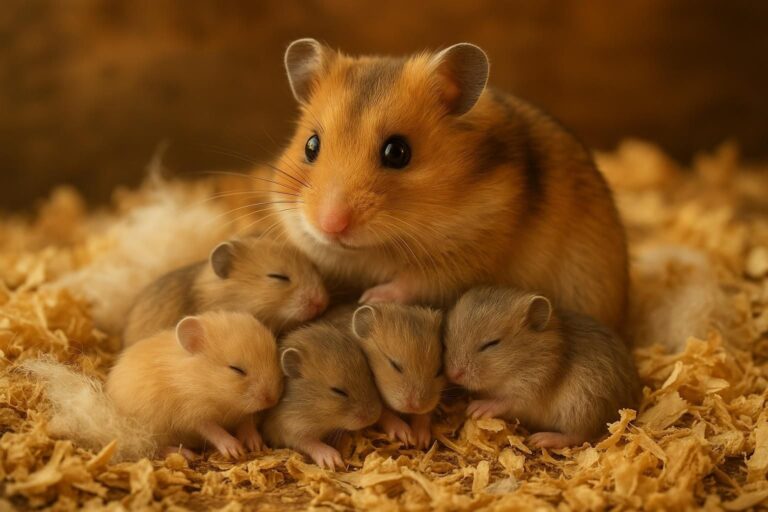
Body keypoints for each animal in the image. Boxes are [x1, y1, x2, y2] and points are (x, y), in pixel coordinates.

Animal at [107, 310, 283, 458]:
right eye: (236, 369)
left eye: (275, 358)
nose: (273, 400)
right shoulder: (193, 415)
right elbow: (212, 430)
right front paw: (236, 450)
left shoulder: (241, 411)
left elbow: (246, 421)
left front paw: (256, 445)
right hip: (151, 429)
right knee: (156, 447)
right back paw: (186, 454)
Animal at [260, 321, 382, 470]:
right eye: (338, 391)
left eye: (369, 374)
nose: (374, 417)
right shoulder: (288, 427)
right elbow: (309, 442)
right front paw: (333, 460)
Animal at [267, 39, 628, 331]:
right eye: (311, 146)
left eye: (397, 152)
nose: (330, 225)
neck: (378, 249)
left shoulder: (469, 256)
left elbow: (414, 282)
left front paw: (371, 297)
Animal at [348, 304, 444, 449]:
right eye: (394, 365)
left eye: (439, 370)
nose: (416, 406)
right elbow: (384, 414)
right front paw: (407, 436)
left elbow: (425, 414)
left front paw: (420, 441)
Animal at [443, 287, 640, 449]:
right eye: (448, 334)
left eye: (492, 343)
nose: (453, 374)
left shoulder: (529, 391)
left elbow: (504, 402)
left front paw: (474, 409)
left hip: (581, 407)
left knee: (580, 436)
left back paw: (541, 439)